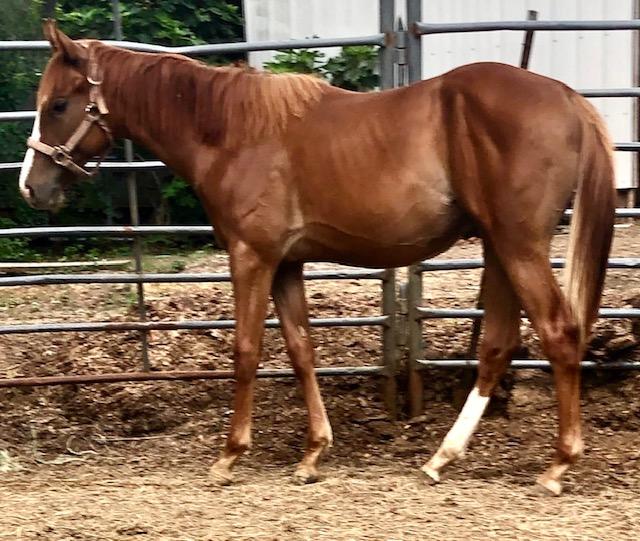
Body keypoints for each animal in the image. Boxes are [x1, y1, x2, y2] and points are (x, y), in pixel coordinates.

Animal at [19, 21, 615, 496]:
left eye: (58, 104)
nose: (31, 187)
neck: (232, 130)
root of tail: (567, 97)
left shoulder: (252, 258)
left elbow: (246, 351)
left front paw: (229, 456)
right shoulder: (286, 264)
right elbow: (302, 350)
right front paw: (312, 454)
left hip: (519, 247)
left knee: (559, 333)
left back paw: (557, 466)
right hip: (498, 247)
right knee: (497, 345)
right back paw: (440, 458)